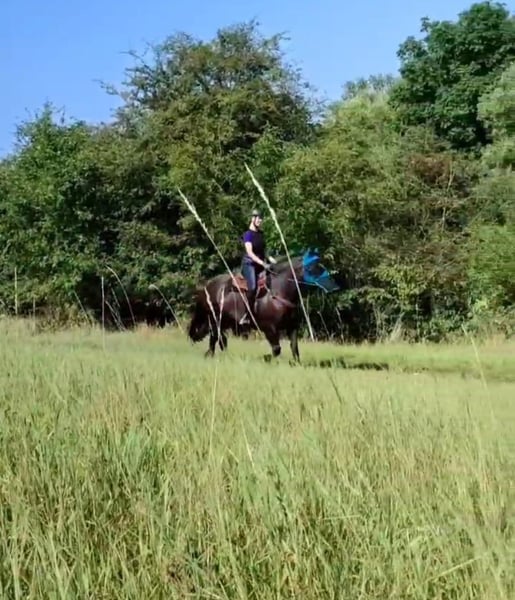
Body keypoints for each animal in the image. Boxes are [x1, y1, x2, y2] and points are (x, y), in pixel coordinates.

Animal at [187, 249, 340, 362]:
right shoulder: (269, 328)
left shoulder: (292, 327)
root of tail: (208, 285)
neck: (280, 292)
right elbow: (277, 349)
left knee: (217, 337)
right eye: (313, 267)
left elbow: (294, 347)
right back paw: (211, 354)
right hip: (215, 319)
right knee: (215, 335)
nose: (335, 287)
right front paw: (267, 359)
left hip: (224, 321)